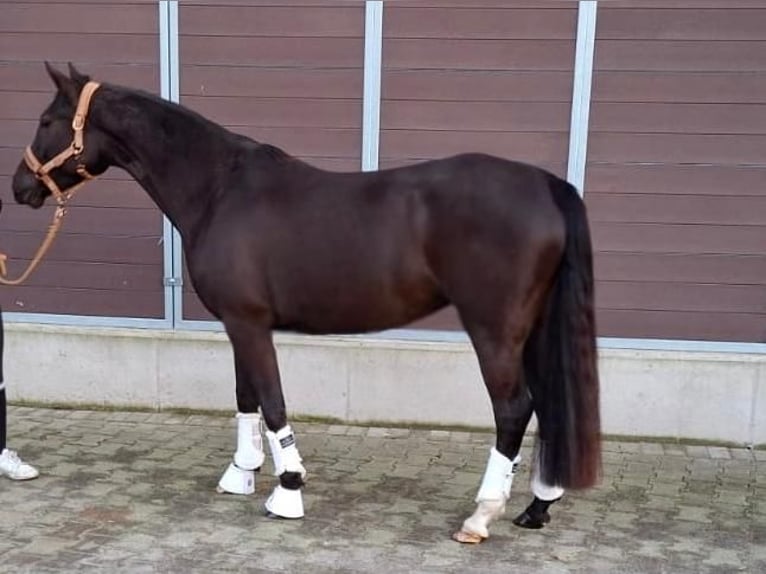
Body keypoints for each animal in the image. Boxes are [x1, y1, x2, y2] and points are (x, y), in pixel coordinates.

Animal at [9, 65, 604, 548]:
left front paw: (288, 491)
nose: (19, 188)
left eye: (45, 120)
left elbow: (272, 403)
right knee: (545, 405)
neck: (219, 190)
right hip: (531, 329)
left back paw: (482, 516)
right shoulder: (238, 324)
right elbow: (246, 396)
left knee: (513, 410)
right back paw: (536, 506)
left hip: (493, 331)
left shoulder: (250, 324)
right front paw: (242, 473)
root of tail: (547, 185)